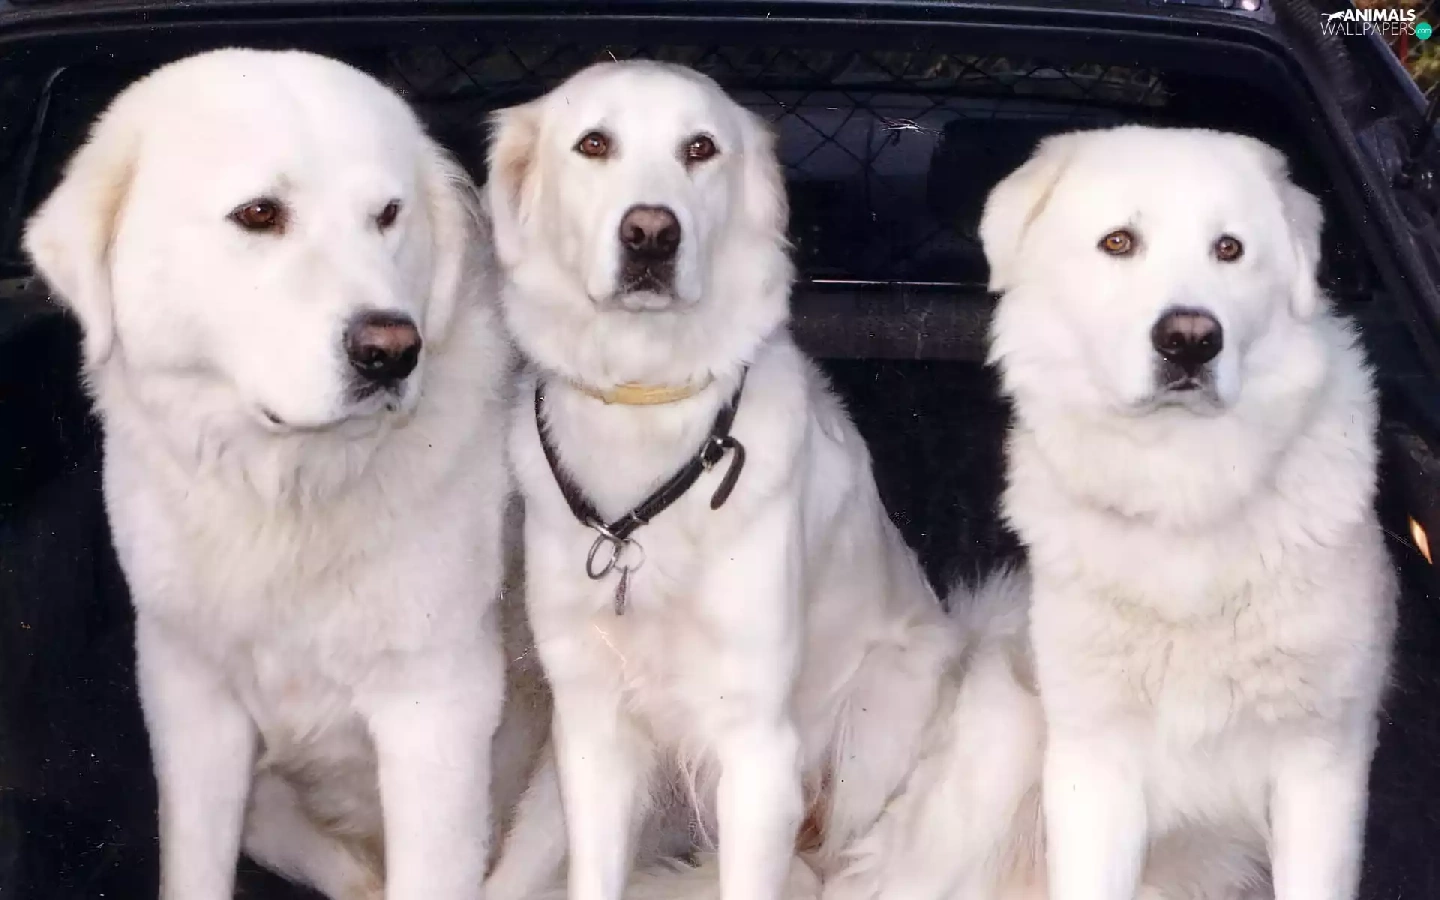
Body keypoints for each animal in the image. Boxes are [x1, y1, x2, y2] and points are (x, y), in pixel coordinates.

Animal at [23, 48, 513, 900]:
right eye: (258, 214)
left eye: (387, 215)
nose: (392, 350)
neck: (290, 490)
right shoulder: (188, 696)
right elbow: (193, 865)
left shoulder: (440, 711)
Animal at [481, 59, 959, 900]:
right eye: (593, 144)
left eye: (700, 148)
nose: (650, 233)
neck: (647, 411)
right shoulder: (592, 730)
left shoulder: (758, 747)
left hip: (880, 714)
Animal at [982, 125, 1398, 900]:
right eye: (1119, 242)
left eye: (1228, 249)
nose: (1190, 339)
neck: (1185, 488)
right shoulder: (1093, 766)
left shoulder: (1319, 765)